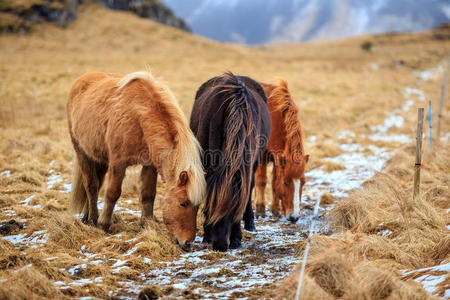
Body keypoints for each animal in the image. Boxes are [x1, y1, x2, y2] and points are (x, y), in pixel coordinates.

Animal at [66, 71, 206, 250]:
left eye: (197, 206)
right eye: (183, 203)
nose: (187, 243)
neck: (139, 117)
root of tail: (81, 80)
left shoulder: (150, 166)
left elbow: (148, 195)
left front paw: (147, 224)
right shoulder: (118, 164)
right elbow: (112, 193)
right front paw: (104, 224)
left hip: (99, 159)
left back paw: (87, 216)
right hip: (82, 153)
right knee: (91, 186)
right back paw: (93, 219)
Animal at [190, 72, 270, 251]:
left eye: (234, 208)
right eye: (210, 205)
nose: (220, 245)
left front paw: (236, 238)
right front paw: (206, 235)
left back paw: (250, 224)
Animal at [255, 79, 312, 223]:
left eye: (303, 182)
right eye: (286, 182)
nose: (294, 217)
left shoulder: (278, 158)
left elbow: (274, 183)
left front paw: (275, 210)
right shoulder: (261, 157)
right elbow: (262, 181)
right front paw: (260, 210)